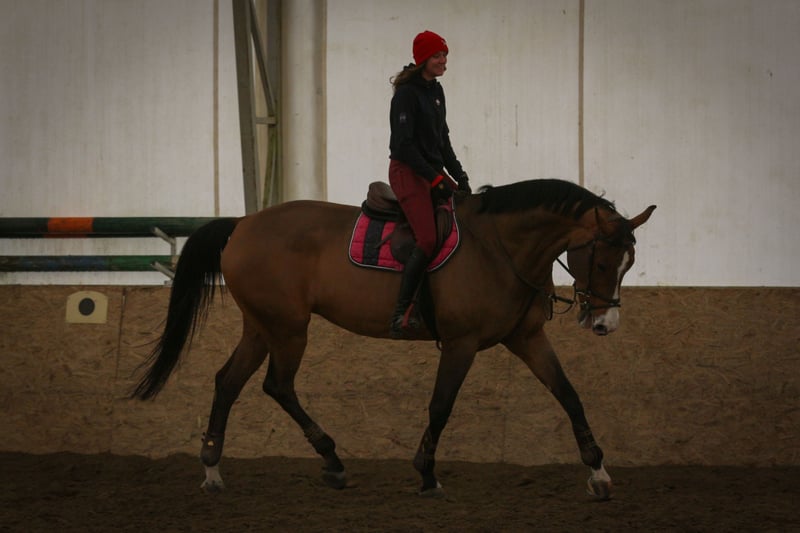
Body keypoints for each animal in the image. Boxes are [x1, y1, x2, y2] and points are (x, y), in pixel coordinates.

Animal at [132, 178, 655, 500]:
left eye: (627, 264)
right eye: (602, 260)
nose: (605, 325)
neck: (501, 248)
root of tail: (242, 225)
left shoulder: (525, 337)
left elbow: (569, 395)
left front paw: (599, 474)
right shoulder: (461, 343)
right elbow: (441, 405)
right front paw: (427, 475)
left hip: (262, 326)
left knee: (228, 382)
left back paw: (213, 470)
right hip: (287, 328)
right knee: (276, 385)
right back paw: (331, 460)